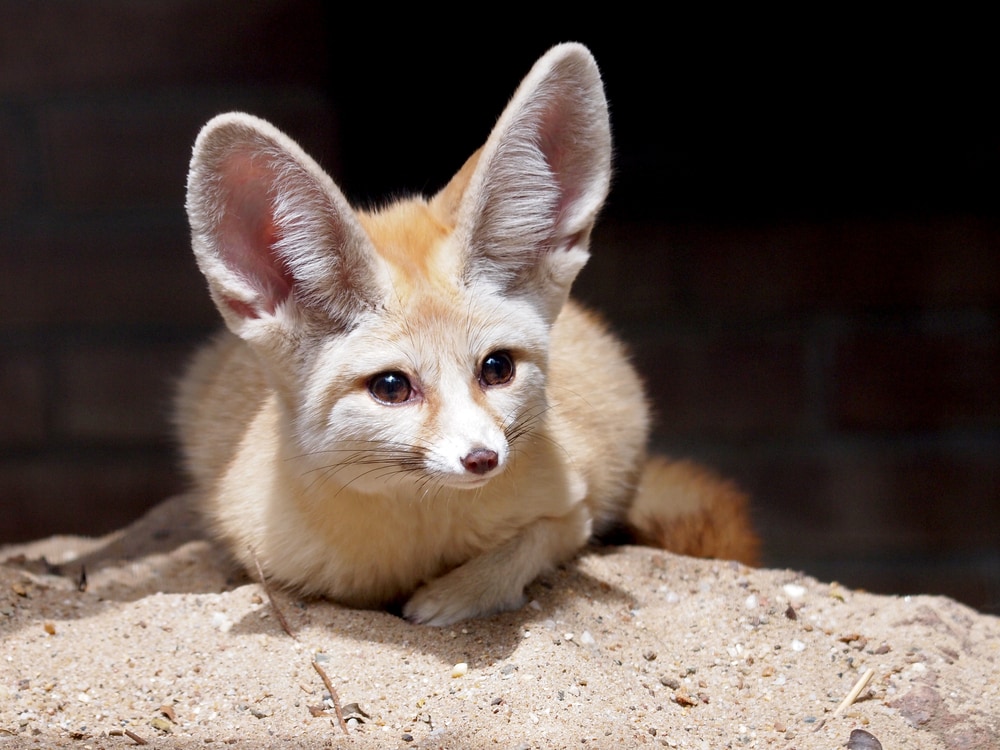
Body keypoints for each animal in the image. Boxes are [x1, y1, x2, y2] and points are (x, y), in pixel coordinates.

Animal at [176, 43, 758, 627]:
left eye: (497, 368)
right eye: (391, 387)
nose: (483, 459)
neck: (422, 534)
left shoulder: (575, 508)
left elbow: (526, 546)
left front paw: (451, 597)